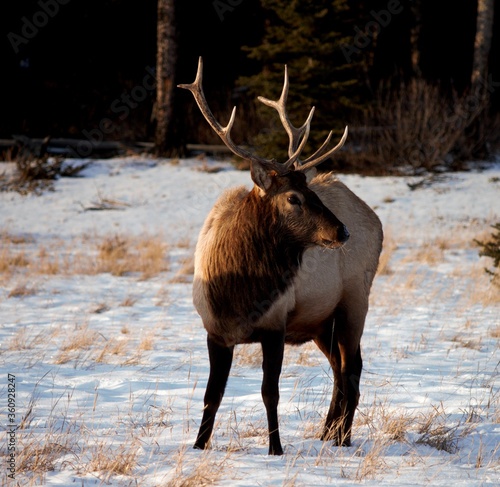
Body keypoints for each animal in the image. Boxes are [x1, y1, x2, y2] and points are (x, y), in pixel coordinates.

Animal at [180, 58, 382, 458]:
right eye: (294, 197)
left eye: (311, 191)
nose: (343, 231)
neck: (239, 295)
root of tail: (376, 220)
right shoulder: (214, 330)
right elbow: (212, 395)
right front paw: (198, 445)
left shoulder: (275, 325)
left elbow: (269, 393)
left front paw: (276, 449)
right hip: (321, 321)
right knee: (340, 368)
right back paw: (328, 433)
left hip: (355, 300)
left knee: (352, 368)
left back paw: (343, 438)